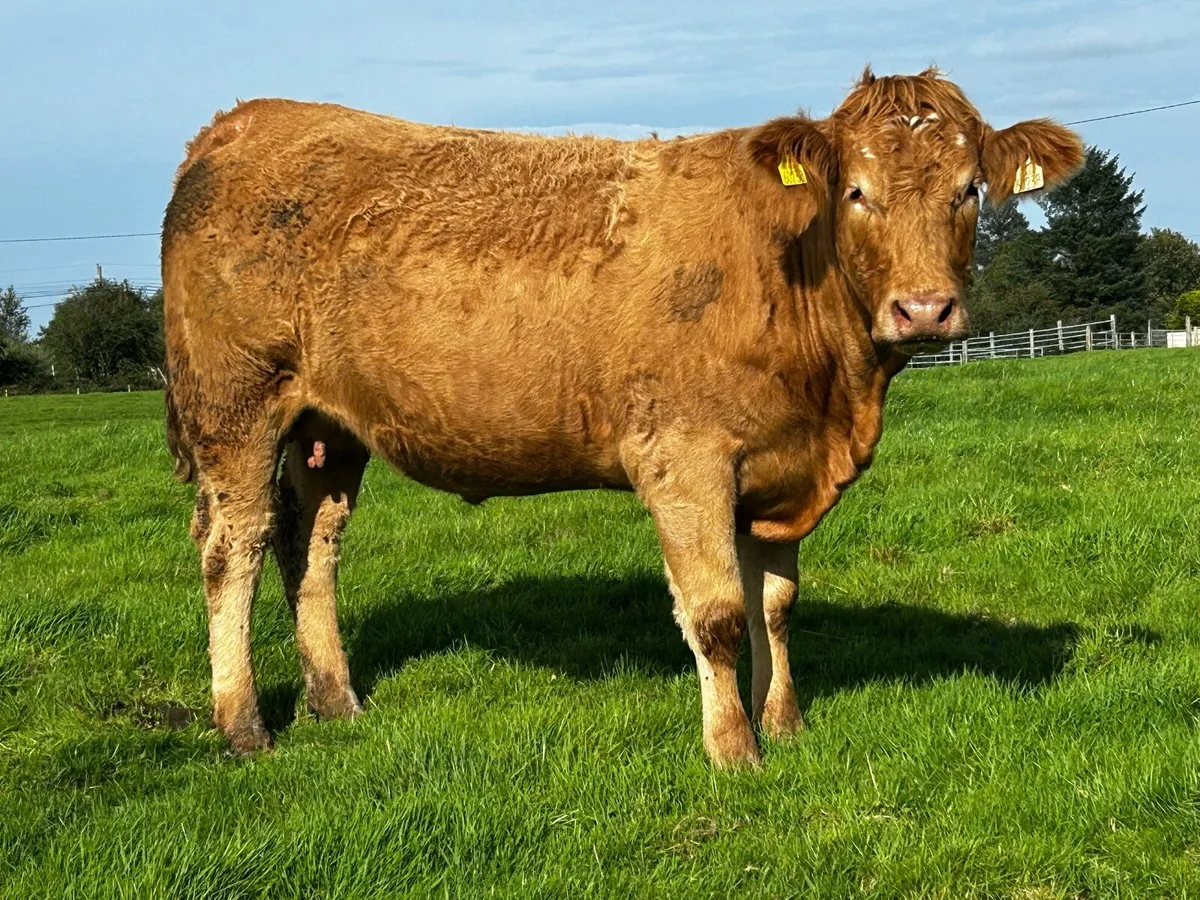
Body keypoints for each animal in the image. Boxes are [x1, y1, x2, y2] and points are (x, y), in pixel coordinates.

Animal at [162, 66, 1083, 767]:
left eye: (969, 191)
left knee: (310, 546)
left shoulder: (778, 469)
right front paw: (733, 750)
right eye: (856, 192)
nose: (924, 310)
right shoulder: (685, 458)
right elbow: (716, 615)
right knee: (234, 548)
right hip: (233, 407)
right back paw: (243, 725)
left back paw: (336, 701)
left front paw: (784, 722)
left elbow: (775, 606)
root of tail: (244, 119)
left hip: (329, 429)